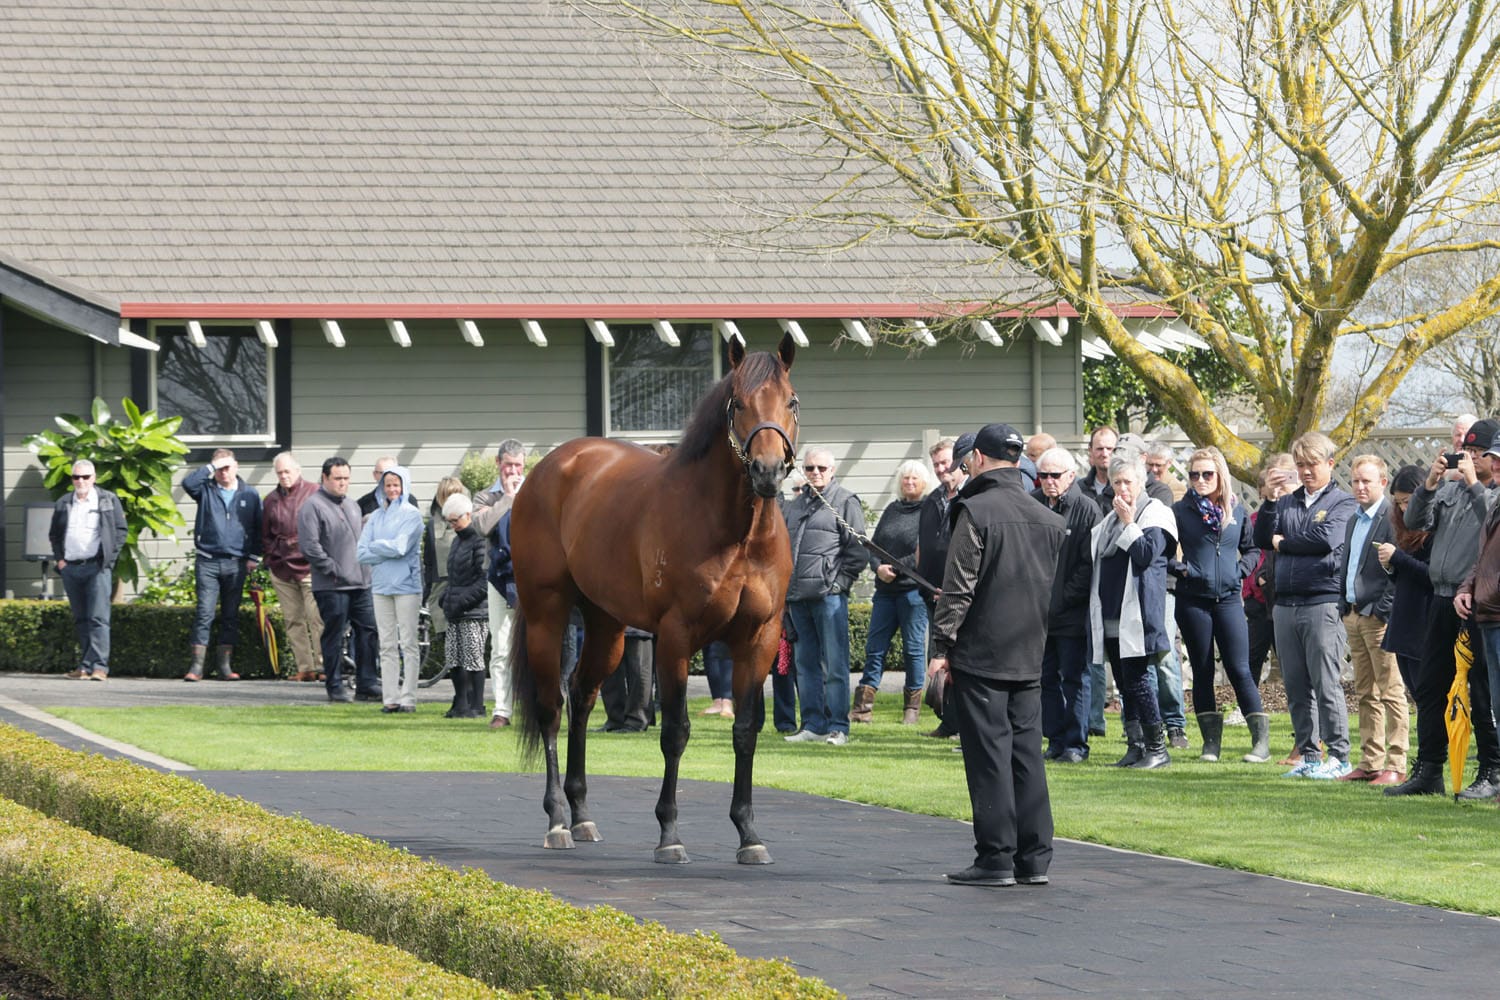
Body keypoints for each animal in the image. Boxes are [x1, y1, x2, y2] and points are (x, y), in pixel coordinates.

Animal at [509, 333, 798, 864]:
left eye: (790, 401)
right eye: (738, 403)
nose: (767, 471)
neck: (737, 533)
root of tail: (549, 469)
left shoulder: (760, 639)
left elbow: (746, 731)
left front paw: (749, 833)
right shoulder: (677, 637)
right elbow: (675, 732)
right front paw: (670, 834)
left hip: (608, 626)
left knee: (582, 696)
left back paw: (582, 815)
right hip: (546, 613)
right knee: (551, 706)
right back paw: (558, 820)